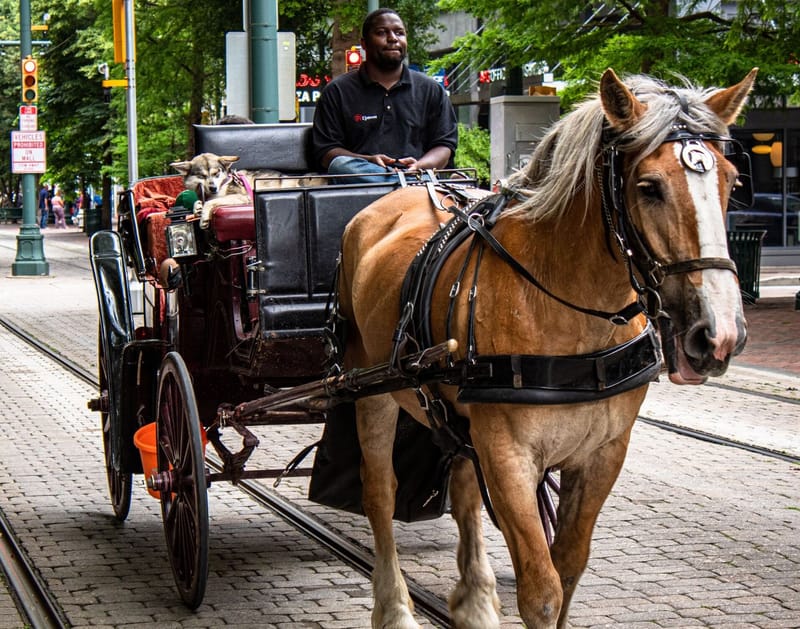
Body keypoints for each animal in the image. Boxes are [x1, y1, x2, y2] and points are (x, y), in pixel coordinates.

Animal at [170, 152, 326, 228]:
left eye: (216, 173)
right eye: (202, 176)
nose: (213, 187)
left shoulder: (242, 197)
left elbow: (210, 202)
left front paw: (203, 218)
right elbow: (198, 203)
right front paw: (198, 208)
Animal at [336, 66, 756, 624]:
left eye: (731, 181)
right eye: (648, 187)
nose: (719, 333)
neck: (569, 309)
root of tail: (395, 194)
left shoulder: (603, 453)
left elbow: (570, 567)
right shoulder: (508, 454)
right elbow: (542, 590)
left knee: (464, 494)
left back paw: (475, 599)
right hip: (372, 392)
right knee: (380, 494)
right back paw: (396, 608)